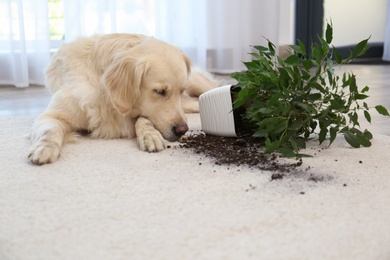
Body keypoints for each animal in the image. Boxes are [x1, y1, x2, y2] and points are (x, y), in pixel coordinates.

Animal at [28, 34, 218, 165]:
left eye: (181, 91)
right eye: (159, 91)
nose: (182, 130)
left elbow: (144, 119)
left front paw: (150, 134)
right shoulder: (52, 115)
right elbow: (49, 131)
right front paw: (44, 148)